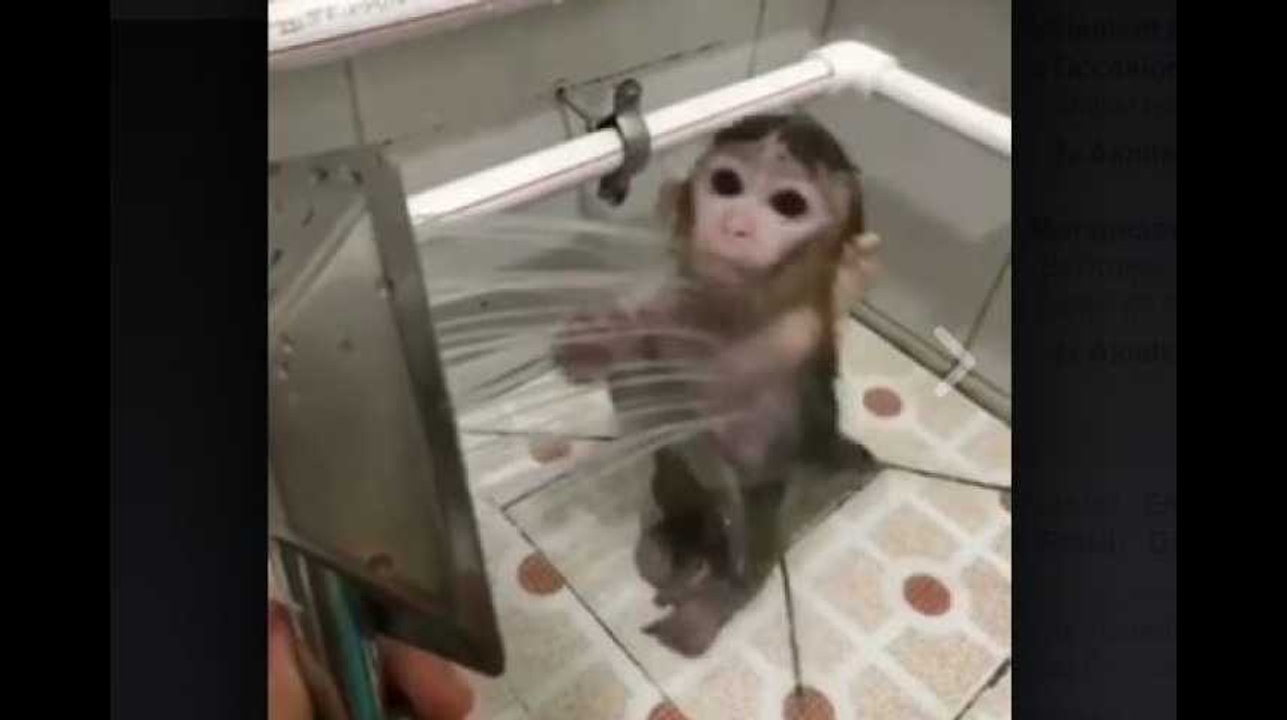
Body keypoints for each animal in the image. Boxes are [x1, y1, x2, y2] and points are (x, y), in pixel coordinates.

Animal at [552, 113, 882, 657]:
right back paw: (675, 547)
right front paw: (594, 344)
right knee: (678, 479)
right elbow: (644, 395)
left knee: (754, 519)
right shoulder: (671, 303)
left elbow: (739, 434)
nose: (737, 225)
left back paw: (713, 596)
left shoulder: (794, 337)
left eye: (789, 204)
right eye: (728, 184)